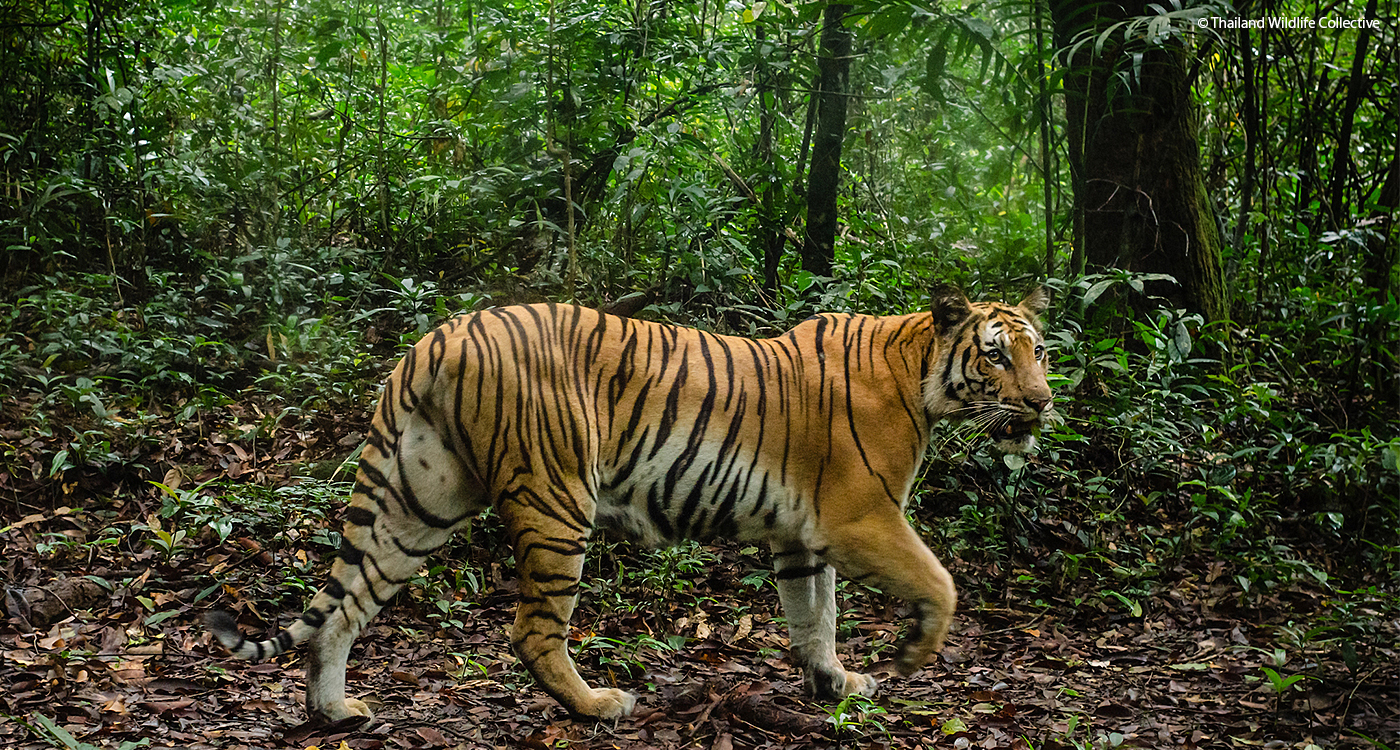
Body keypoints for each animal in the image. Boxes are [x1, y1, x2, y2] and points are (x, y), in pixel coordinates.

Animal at [207, 285, 1052, 722]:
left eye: (1040, 350)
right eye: (994, 356)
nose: (1043, 402)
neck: (922, 373)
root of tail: (437, 338)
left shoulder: (801, 537)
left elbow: (815, 617)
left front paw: (834, 684)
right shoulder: (861, 518)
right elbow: (940, 582)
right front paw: (907, 655)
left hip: (420, 500)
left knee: (344, 607)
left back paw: (334, 711)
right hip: (556, 500)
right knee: (532, 630)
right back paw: (597, 704)